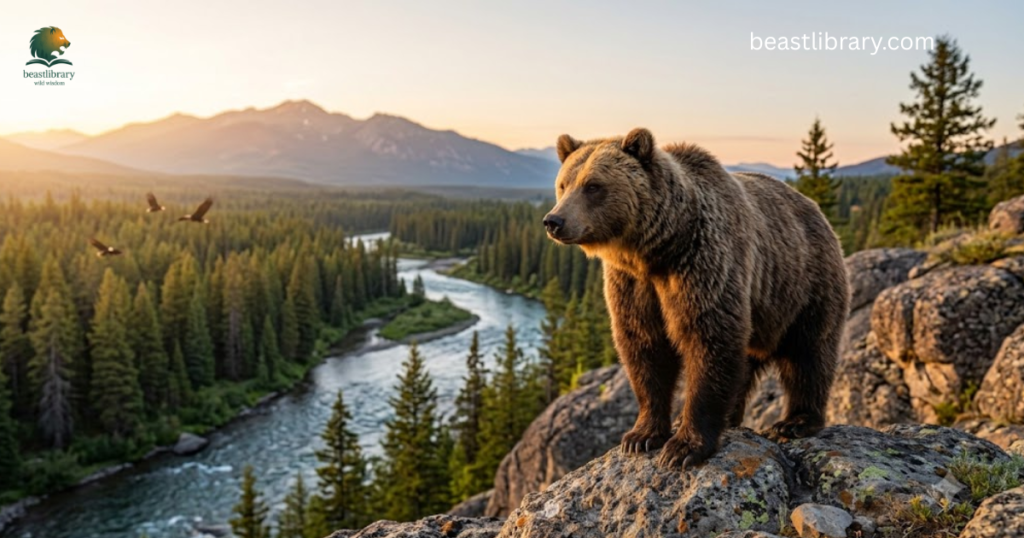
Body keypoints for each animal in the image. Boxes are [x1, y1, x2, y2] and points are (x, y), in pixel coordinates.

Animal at [543, 128, 849, 469]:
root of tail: (816, 209)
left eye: (593, 185)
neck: (654, 250)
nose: (554, 221)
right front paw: (640, 436)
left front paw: (684, 447)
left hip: (804, 285)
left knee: (808, 353)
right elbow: (644, 346)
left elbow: (708, 340)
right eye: (563, 184)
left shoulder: (703, 264)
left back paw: (795, 422)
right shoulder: (633, 284)